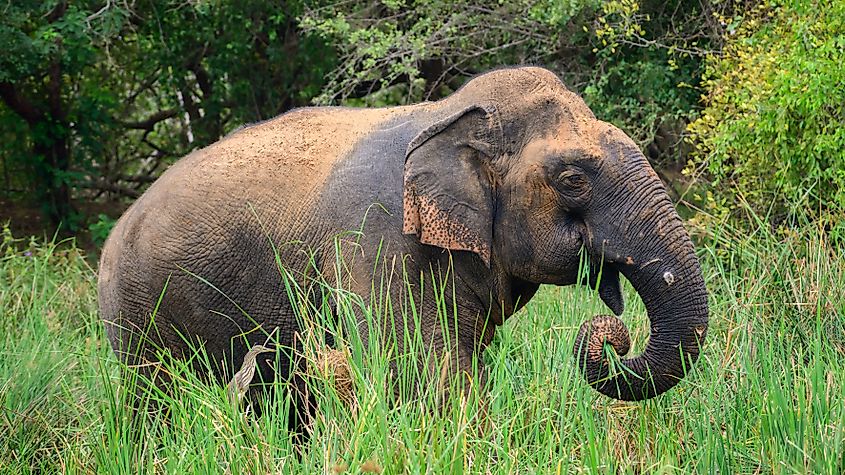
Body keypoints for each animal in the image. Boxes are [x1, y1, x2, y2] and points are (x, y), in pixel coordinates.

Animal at [97, 66, 708, 421]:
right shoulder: (378, 240)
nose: (610, 336)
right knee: (157, 401)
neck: (448, 115)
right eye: (574, 179)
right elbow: (421, 374)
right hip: (138, 313)